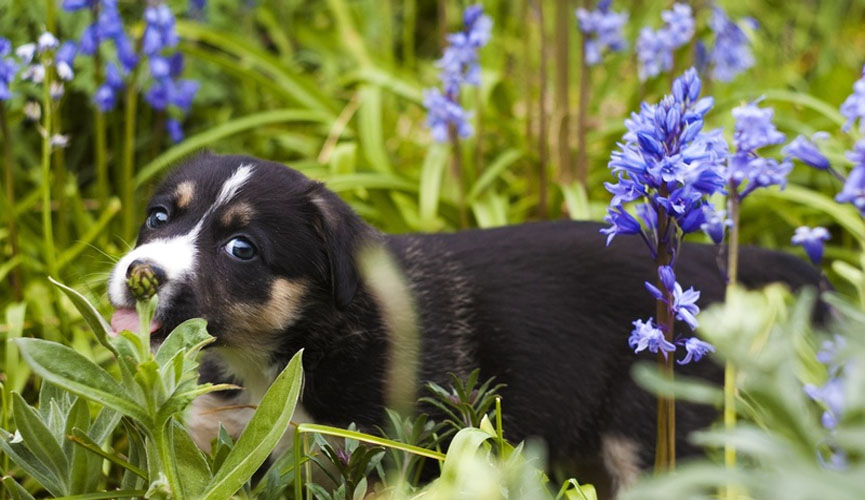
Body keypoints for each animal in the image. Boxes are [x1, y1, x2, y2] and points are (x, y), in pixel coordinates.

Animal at [108, 152, 824, 496]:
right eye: (158, 216)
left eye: (242, 249)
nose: (139, 273)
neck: (280, 356)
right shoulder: (215, 444)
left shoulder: (386, 459)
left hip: (650, 433)